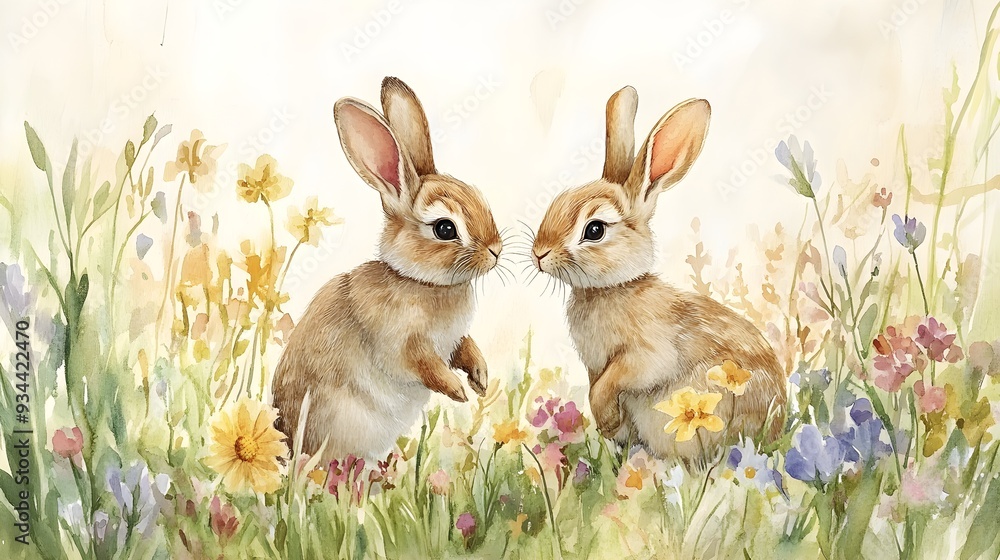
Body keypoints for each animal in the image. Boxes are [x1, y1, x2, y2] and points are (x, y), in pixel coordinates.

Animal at [272, 77, 503, 463]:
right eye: (445, 229)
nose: (495, 251)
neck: (419, 281)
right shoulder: (403, 344)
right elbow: (425, 366)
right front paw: (458, 390)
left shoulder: (454, 340)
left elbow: (466, 349)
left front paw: (481, 379)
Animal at [529, 86, 786, 464]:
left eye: (594, 230)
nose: (539, 253)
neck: (612, 288)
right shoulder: (594, 365)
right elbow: (596, 386)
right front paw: (611, 426)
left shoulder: (644, 355)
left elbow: (611, 382)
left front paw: (607, 419)